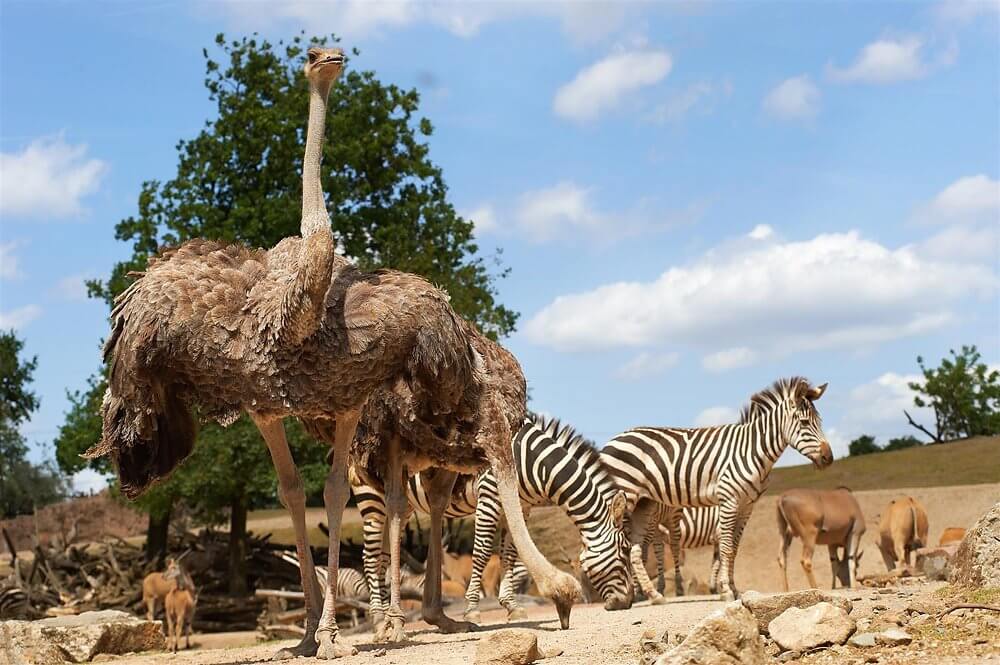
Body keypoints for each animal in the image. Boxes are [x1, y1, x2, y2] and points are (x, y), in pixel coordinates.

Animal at [352, 412, 632, 624]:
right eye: (624, 551)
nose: (627, 603)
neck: (530, 461)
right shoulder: (489, 497)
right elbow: (483, 551)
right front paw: (472, 610)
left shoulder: (522, 507)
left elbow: (509, 554)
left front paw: (511, 606)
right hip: (371, 498)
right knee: (369, 556)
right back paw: (378, 618)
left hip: (403, 506)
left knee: (385, 555)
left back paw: (387, 618)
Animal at [596, 376, 832, 600]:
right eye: (804, 423)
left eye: (819, 421)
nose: (828, 458)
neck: (752, 451)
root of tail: (613, 440)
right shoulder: (728, 501)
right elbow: (726, 548)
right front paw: (726, 590)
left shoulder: (747, 506)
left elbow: (734, 549)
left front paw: (735, 590)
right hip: (624, 496)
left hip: (643, 503)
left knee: (636, 550)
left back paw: (653, 595)